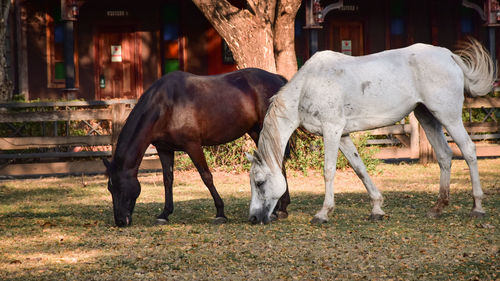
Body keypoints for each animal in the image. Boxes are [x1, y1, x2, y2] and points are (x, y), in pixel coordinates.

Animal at [102, 68, 292, 225]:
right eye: (110, 188)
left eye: (119, 186)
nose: (120, 221)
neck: (165, 106)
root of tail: (277, 78)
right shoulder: (164, 149)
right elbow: (167, 180)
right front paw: (164, 214)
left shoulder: (192, 146)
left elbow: (206, 177)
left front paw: (220, 213)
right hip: (255, 131)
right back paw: (280, 208)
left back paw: (278, 210)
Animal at [246, 38, 496, 223]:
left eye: (259, 182)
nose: (254, 218)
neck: (309, 85)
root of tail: (448, 55)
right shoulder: (343, 135)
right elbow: (360, 169)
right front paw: (376, 208)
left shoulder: (332, 131)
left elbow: (328, 171)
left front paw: (323, 213)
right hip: (427, 117)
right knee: (444, 155)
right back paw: (438, 207)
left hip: (449, 116)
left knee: (468, 150)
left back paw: (477, 207)